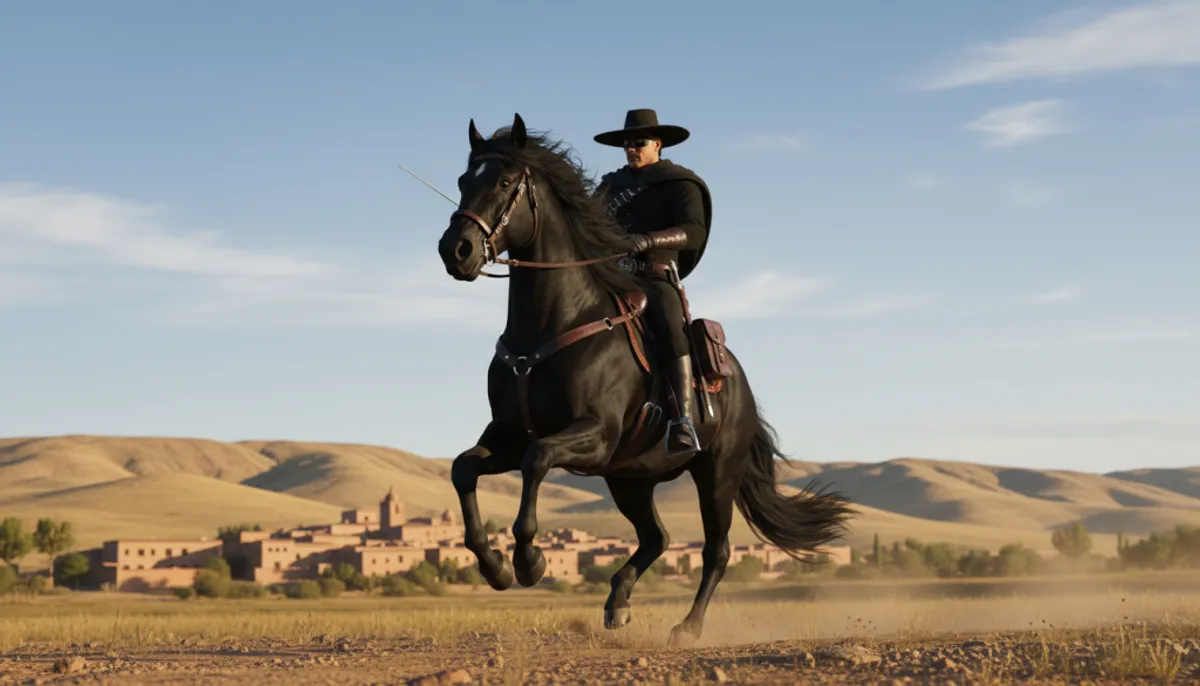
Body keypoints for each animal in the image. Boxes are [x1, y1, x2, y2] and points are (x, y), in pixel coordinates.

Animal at [435, 113, 856, 646]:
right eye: (463, 181)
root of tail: (740, 384)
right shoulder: (509, 435)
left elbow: (537, 460)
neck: (550, 324)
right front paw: (495, 568)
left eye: (507, 181)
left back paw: (687, 627)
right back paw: (617, 603)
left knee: (715, 550)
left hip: (715, 472)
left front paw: (530, 562)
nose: (456, 250)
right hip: (630, 478)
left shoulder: (593, 435)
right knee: (658, 536)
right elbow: (463, 469)